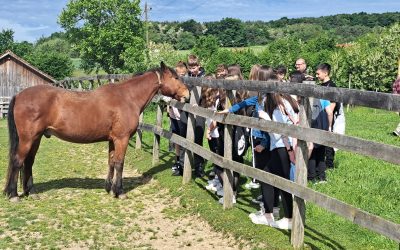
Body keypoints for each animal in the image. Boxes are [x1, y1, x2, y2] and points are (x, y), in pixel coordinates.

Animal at [3, 61, 189, 200]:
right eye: (175, 77)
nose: (187, 95)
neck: (127, 97)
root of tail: (19, 95)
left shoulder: (113, 140)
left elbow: (111, 162)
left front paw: (109, 188)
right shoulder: (121, 139)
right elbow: (119, 163)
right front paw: (120, 192)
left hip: (36, 138)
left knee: (28, 162)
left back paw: (31, 192)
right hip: (28, 139)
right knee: (18, 161)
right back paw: (13, 195)